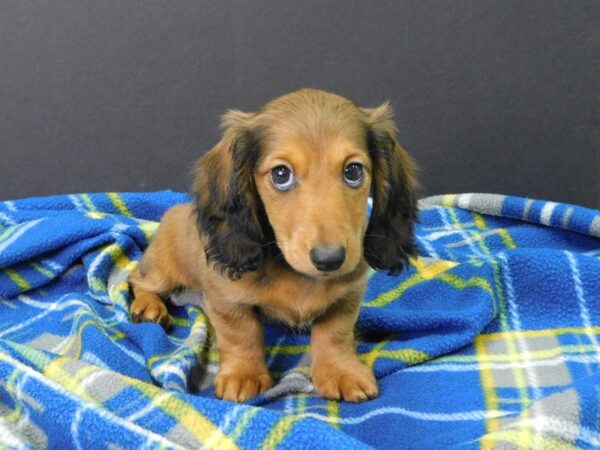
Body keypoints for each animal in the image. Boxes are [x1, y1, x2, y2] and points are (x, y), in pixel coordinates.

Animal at [129, 88, 418, 400]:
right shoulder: (226, 298)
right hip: (163, 267)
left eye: (353, 171)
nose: (330, 259)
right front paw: (243, 374)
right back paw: (148, 306)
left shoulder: (348, 293)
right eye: (281, 175)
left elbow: (335, 333)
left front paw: (340, 371)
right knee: (137, 278)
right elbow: (241, 333)